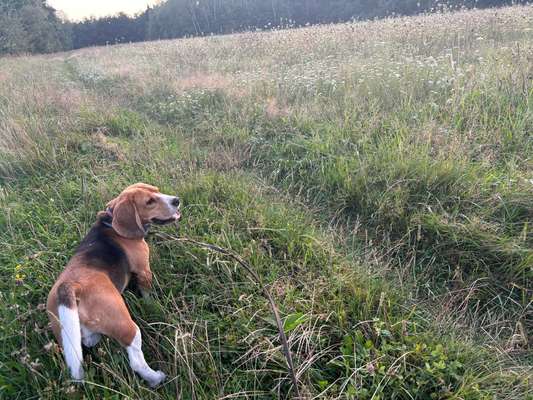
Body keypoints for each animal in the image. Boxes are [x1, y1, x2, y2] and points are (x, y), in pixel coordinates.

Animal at [46, 184, 179, 388]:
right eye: (149, 201)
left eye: (156, 190)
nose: (176, 200)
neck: (109, 222)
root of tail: (69, 287)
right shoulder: (144, 270)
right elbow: (147, 293)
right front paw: (152, 305)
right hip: (126, 326)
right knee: (136, 360)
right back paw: (156, 378)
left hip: (68, 337)